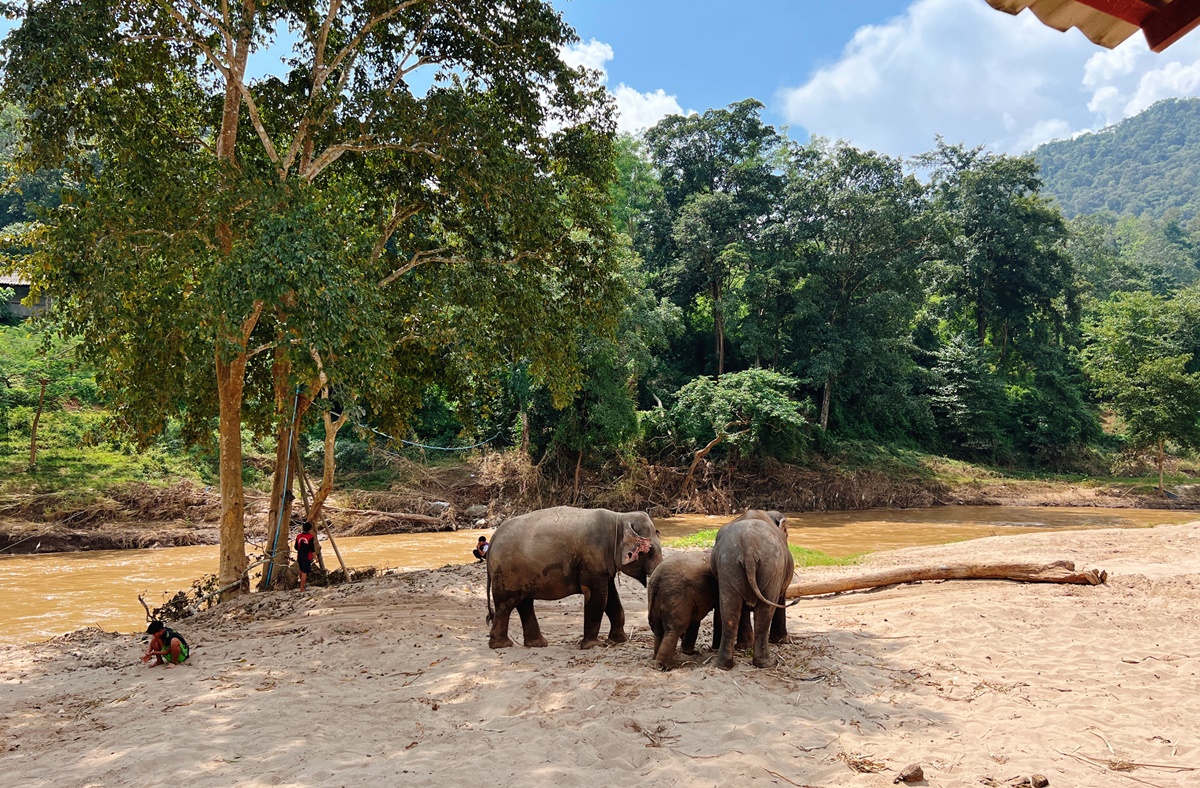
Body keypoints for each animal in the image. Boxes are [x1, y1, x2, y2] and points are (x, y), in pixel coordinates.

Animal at [482, 506, 662, 647]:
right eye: (650, 551)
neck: (619, 518)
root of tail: (493, 539)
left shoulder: (603, 566)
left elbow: (612, 598)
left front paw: (618, 640)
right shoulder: (591, 561)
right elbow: (598, 597)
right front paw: (592, 645)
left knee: (524, 603)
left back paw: (537, 644)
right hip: (506, 573)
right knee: (506, 605)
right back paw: (502, 645)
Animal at [705, 515, 792, 671]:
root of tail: (748, 548)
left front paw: (745, 646)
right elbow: (781, 598)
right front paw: (783, 640)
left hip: (728, 566)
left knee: (730, 610)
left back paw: (724, 664)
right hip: (772, 568)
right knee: (766, 610)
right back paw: (767, 663)